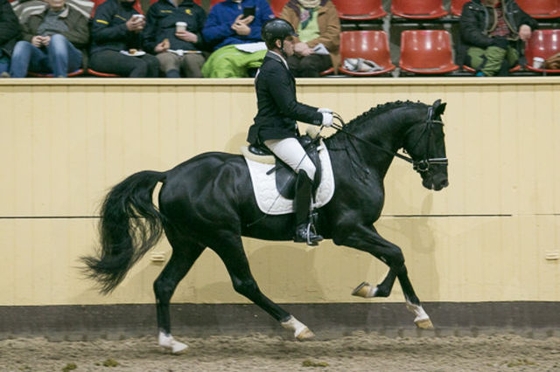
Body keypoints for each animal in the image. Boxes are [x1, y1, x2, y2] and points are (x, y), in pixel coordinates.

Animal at [81, 98, 450, 352]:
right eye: (436, 134)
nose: (441, 181)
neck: (358, 158)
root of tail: (169, 175)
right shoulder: (348, 231)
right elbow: (397, 253)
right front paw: (397, 303)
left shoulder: (363, 227)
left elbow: (395, 256)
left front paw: (405, 306)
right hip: (223, 235)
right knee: (244, 283)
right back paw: (297, 326)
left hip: (191, 241)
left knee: (164, 284)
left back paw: (170, 343)